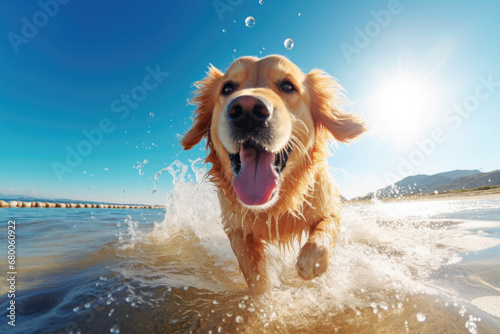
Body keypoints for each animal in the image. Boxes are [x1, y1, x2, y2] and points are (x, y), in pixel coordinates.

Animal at [182, 54, 366, 292]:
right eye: (227, 88)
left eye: (287, 86)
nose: (247, 111)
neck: (273, 206)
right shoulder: (235, 227)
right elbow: (254, 273)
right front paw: (263, 297)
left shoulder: (328, 204)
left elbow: (326, 227)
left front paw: (311, 261)